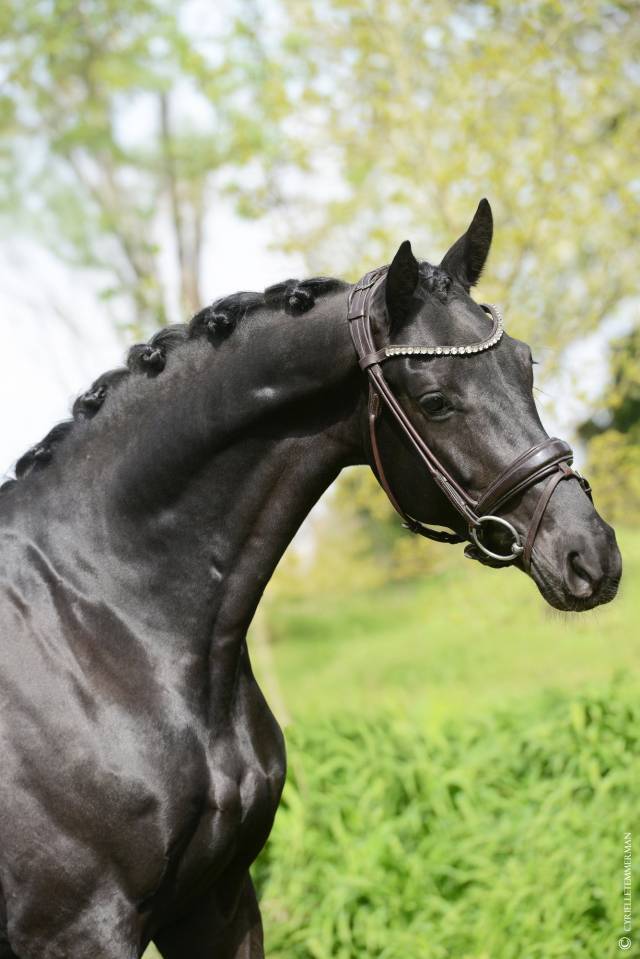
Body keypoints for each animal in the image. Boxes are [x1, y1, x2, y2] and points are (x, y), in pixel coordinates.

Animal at [0, 199, 621, 958]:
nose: (590, 555)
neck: (102, 619)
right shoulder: (79, 928)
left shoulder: (218, 899)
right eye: (436, 401)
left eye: (525, 365)